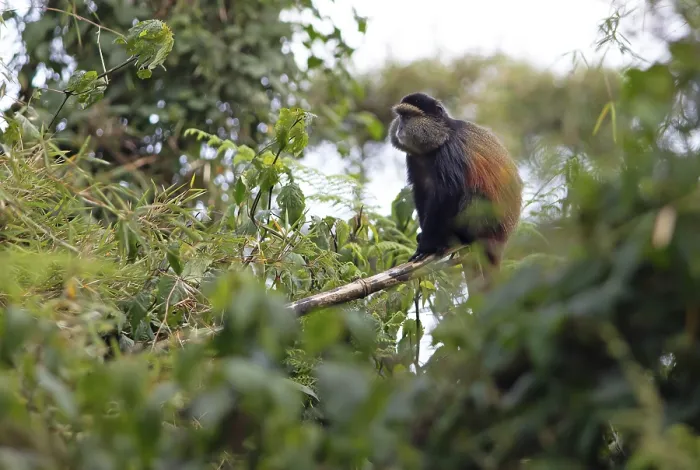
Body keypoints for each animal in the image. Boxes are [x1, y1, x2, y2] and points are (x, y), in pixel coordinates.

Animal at [388, 92, 523, 270]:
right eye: (401, 116)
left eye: (408, 116)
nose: (400, 128)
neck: (441, 137)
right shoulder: (414, 159)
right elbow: (422, 189)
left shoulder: (449, 153)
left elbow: (447, 194)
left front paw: (426, 247)